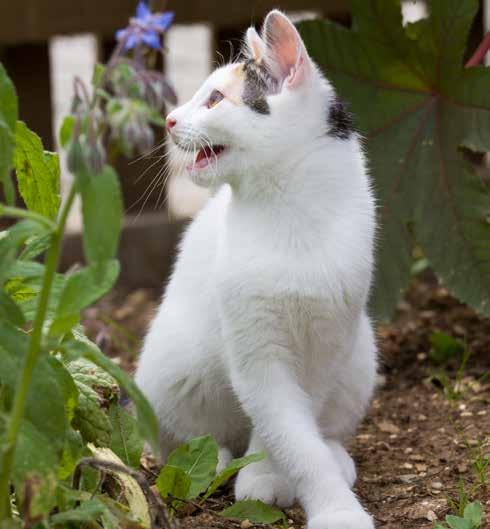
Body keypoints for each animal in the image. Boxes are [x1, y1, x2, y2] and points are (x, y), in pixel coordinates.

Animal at [136, 9, 378, 528]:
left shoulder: (325, 345)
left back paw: (335, 454)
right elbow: (287, 432)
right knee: (183, 440)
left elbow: (298, 430)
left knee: (326, 428)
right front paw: (314, 498)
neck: (290, 211)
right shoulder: (256, 352)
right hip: (171, 362)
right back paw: (213, 460)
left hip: (360, 353)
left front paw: (280, 475)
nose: (169, 119)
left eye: (214, 99)